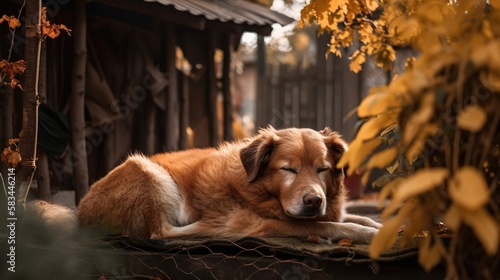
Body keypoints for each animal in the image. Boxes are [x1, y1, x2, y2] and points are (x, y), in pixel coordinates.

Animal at [78, 127, 378, 243]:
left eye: (322, 169)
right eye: (288, 169)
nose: (314, 201)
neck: (258, 189)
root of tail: (82, 209)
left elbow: (356, 217)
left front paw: (379, 225)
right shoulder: (269, 223)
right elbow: (330, 225)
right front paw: (368, 235)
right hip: (145, 169)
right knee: (162, 233)